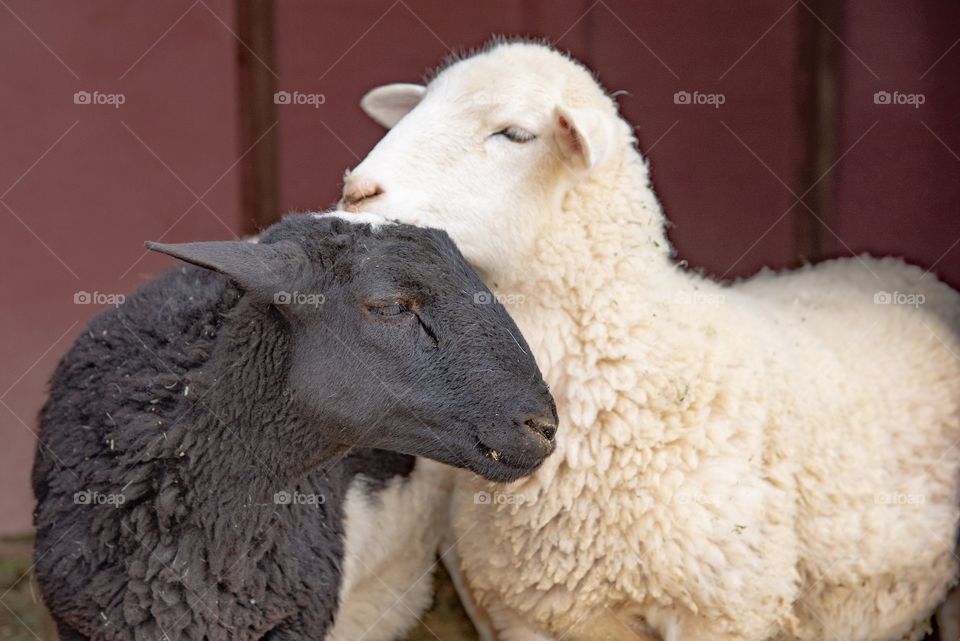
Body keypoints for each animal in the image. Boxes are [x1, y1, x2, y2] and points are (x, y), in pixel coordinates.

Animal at [341, 40, 960, 641]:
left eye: (515, 134)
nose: (355, 192)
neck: (636, 358)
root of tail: (898, 270)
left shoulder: (723, 606)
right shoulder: (530, 611)